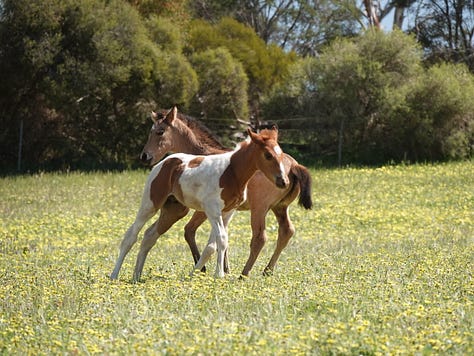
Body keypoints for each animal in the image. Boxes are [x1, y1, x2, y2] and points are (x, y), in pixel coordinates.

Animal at [111, 121, 288, 280]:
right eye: (268, 155)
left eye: (281, 154)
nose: (284, 181)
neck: (232, 172)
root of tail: (165, 162)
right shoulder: (212, 210)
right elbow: (221, 240)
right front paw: (219, 275)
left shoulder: (227, 212)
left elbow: (212, 246)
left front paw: (194, 274)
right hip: (150, 204)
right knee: (131, 236)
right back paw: (114, 275)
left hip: (174, 211)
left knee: (149, 236)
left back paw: (136, 276)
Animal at [134, 105, 312, 278]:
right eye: (151, 131)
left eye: (160, 131)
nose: (145, 156)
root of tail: (294, 166)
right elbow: (215, 236)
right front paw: (224, 268)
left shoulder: (205, 210)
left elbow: (191, 231)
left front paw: (206, 268)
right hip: (280, 208)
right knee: (286, 231)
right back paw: (267, 270)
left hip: (259, 209)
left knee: (259, 238)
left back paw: (244, 273)